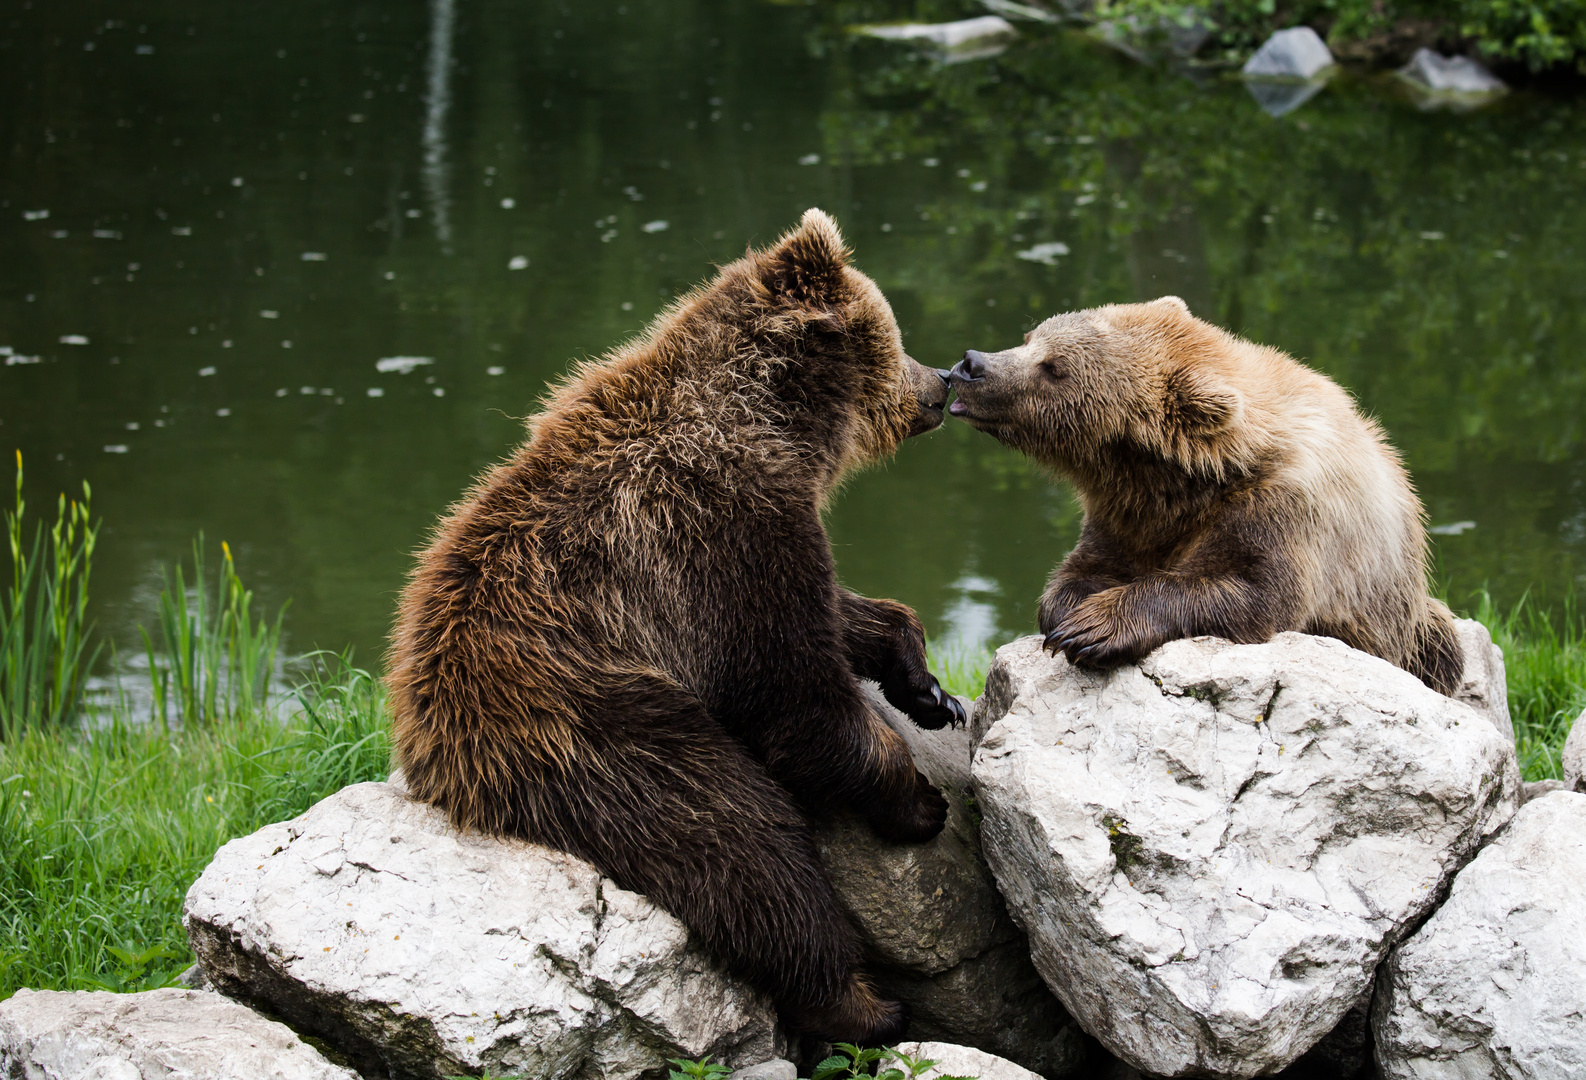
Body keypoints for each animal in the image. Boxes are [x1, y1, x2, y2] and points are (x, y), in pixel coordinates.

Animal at [388, 206, 957, 1040]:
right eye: (895, 333)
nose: (941, 382)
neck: (780, 425)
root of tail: (428, 737)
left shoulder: (760, 541)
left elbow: (836, 614)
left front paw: (926, 688)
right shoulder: (713, 535)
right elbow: (796, 701)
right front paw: (917, 799)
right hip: (603, 723)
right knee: (740, 843)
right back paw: (862, 1003)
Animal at [938, 299, 1459, 694]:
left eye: (1055, 369)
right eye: (1030, 337)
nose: (972, 363)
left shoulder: (1283, 511)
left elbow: (1248, 589)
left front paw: (1093, 628)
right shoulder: (1128, 511)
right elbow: (1085, 566)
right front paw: (1067, 611)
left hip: (1400, 623)